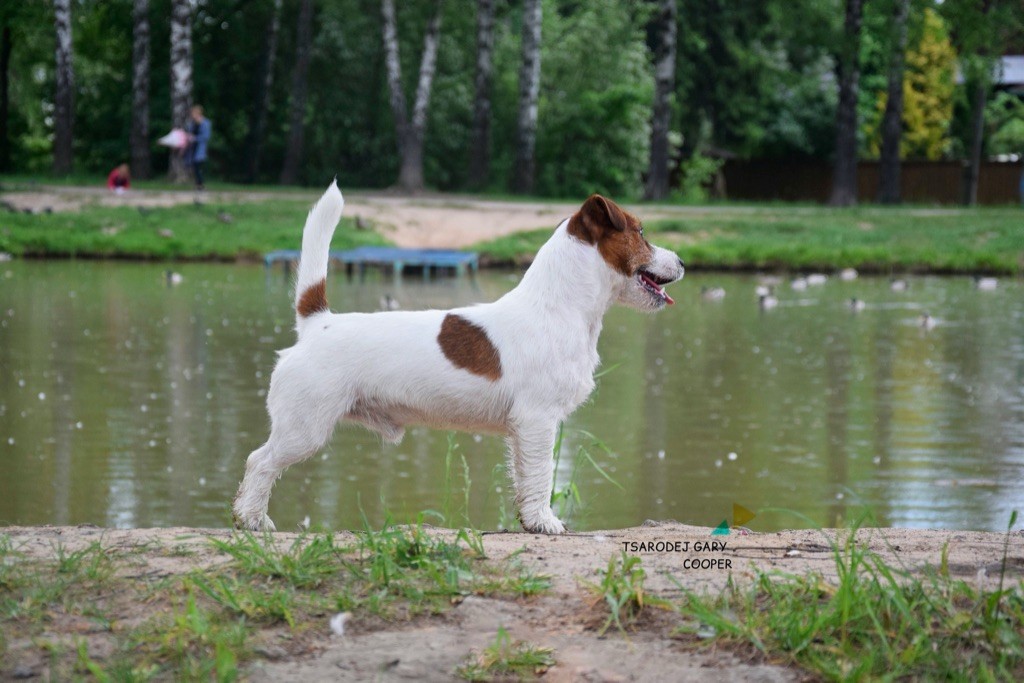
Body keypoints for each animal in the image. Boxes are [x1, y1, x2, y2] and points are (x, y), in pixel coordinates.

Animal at [231, 184, 679, 536]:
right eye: (641, 232)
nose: (680, 262)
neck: (556, 306)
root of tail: (316, 323)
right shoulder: (539, 419)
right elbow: (541, 475)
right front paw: (546, 522)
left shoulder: (524, 429)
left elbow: (524, 477)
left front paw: (529, 521)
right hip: (303, 428)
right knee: (259, 462)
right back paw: (251, 519)